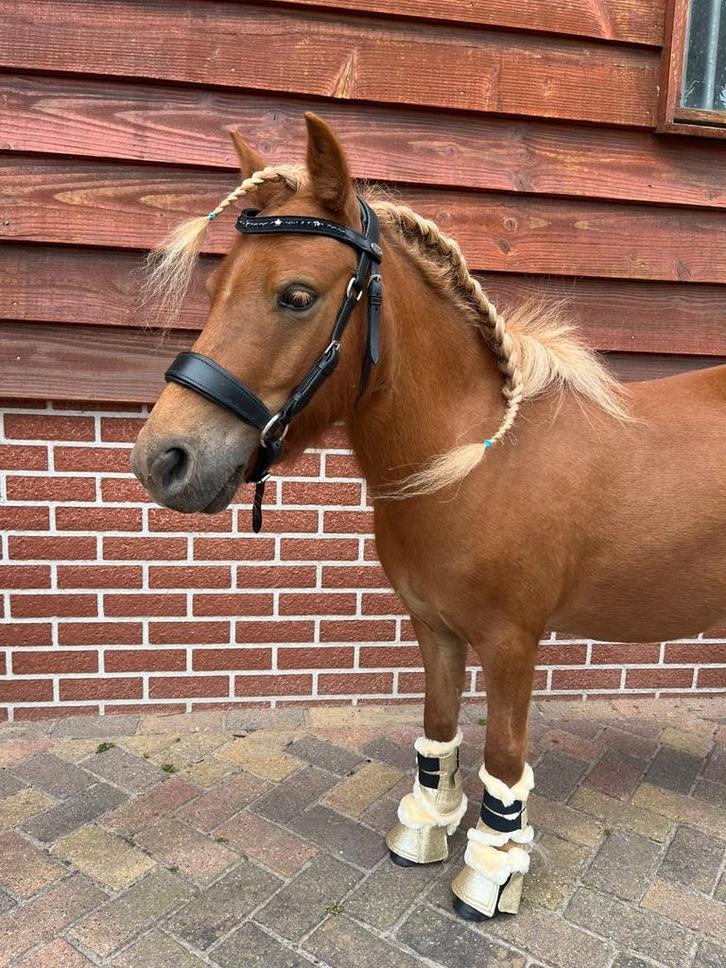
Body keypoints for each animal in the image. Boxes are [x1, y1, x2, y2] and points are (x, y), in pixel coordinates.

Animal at [131, 112, 726, 920]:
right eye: (218, 287)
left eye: (295, 295)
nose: (164, 459)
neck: (470, 463)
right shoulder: (433, 626)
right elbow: (438, 729)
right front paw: (425, 829)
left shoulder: (511, 643)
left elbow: (503, 761)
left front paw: (492, 871)